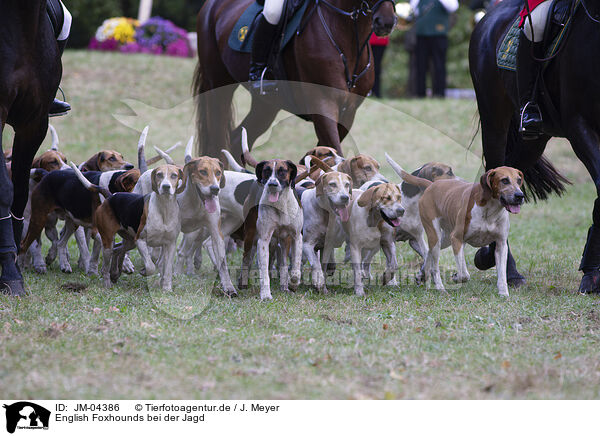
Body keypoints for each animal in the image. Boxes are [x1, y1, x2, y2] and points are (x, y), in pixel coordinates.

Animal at [193, 0, 398, 159]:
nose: (386, 22)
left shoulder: (348, 112)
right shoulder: (323, 103)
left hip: (267, 104)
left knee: (237, 141)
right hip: (218, 85)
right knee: (218, 143)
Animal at [466, 0, 600, 292]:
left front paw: (592, 271)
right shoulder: (580, 126)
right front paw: (591, 274)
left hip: (535, 140)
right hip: (494, 118)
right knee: (495, 171)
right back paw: (507, 268)